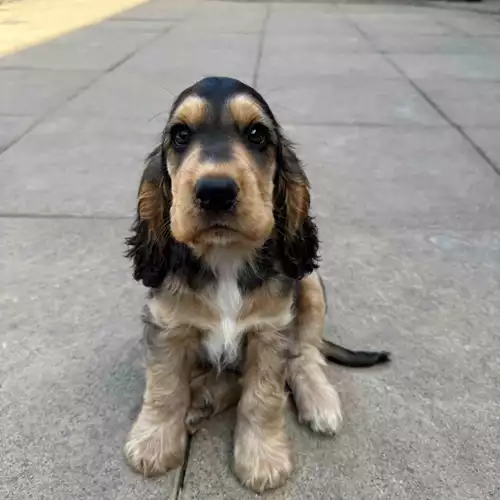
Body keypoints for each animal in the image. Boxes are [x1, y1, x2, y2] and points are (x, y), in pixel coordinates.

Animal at [123, 77, 388, 492]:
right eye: (181, 135)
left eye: (256, 134)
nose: (215, 191)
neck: (226, 256)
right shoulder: (167, 326)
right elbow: (165, 387)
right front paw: (153, 444)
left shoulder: (270, 331)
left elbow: (262, 396)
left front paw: (263, 459)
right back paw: (201, 398)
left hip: (309, 283)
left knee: (305, 355)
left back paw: (318, 401)